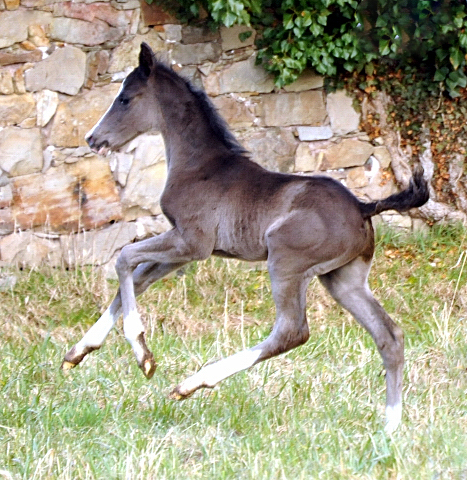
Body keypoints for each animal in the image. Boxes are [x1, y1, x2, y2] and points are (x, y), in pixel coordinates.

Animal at [63, 42, 432, 432]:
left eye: (125, 99)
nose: (93, 138)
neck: (199, 165)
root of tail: (363, 207)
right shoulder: (184, 248)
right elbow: (136, 278)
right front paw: (78, 352)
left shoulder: (191, 242)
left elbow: (124, 258)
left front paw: (142, 353)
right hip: (343, 278)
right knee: (389, 335)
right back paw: (390, 427)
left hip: (286, 261)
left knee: (292, 331)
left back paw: (194, 382)